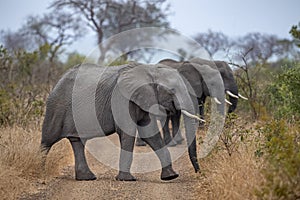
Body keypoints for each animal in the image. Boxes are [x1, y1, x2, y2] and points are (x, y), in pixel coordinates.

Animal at [40, 62, 204, 181]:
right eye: (172, 90)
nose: (198, 172)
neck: (149, 70)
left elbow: (150, 134)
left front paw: (171, 176)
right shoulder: (122, 98)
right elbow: (127, 132)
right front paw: (127, 180)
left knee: (77, 141)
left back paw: (87, 178)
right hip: (56, 106)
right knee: (47, 140)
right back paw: (40, 171)